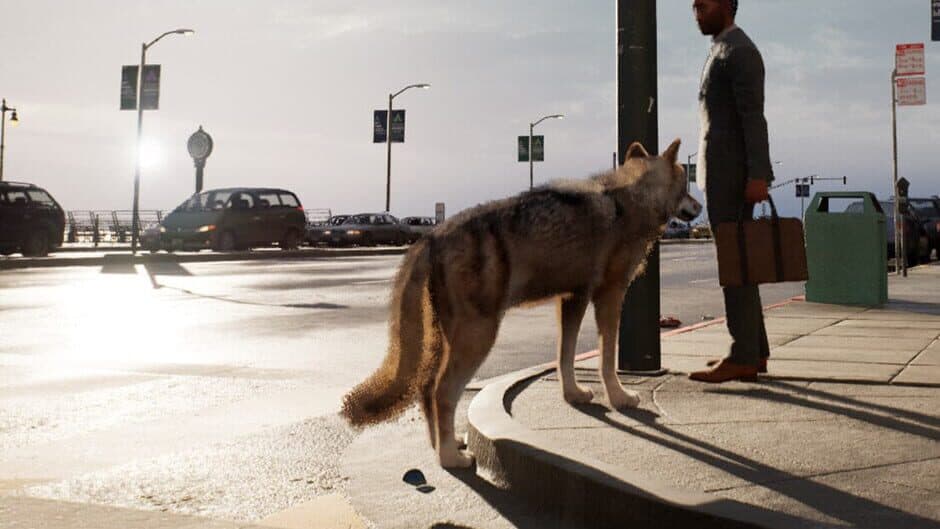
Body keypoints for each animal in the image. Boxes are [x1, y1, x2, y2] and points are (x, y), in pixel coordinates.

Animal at [341, 139, 701, 468]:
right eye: (686, 185)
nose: (699, 207)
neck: (629, 200)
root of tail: (431, 237)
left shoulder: (572, 299)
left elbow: (565, 355)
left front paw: (573, 395)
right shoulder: (608, 296)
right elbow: (607, 359)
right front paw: (620, 398)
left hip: (449, 338)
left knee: (427, 389)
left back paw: (445, 445)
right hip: (478, 337)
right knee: (442, 392)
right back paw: (450, 459)